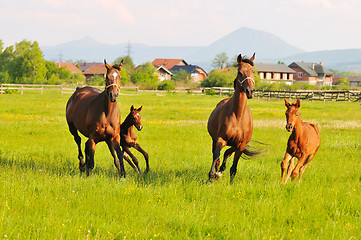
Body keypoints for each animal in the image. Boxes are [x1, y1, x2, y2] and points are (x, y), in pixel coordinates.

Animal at [205, 54, 256, 182]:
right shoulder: (221, 139)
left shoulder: (241, 145)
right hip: (214, 140)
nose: (250, 91)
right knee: (217, 156)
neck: (237, 116)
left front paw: (229, 181)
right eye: (239, 72)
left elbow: (233, 166)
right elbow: (217, 155)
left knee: (227, 153)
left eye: (253, 71)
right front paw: (211, 177)